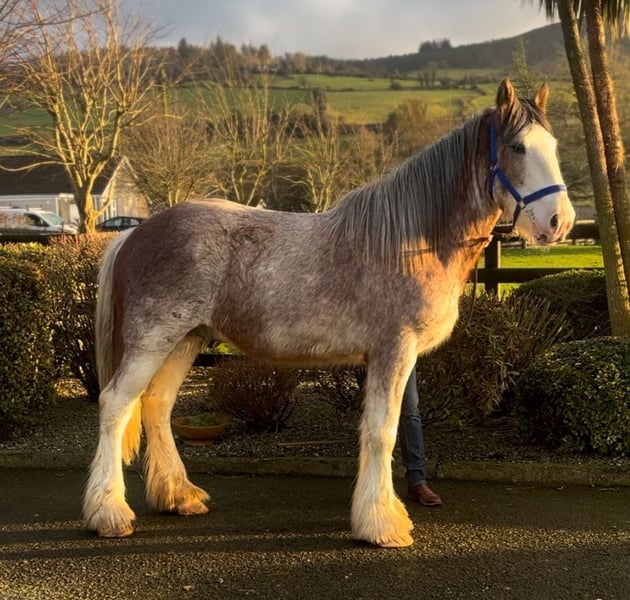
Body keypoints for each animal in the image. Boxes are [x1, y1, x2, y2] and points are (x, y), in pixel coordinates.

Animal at [83, 79, 575, 548]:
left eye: (553, 147)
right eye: (517, 147)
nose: (560, 222)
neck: (409, 242)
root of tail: (133, 234)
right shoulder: (392, 352)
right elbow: (381, 432)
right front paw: (382, 525)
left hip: (186, 340)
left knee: (157, 405)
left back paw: (178, 496)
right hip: (152, 341)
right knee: (116, 406)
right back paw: (109, 514)